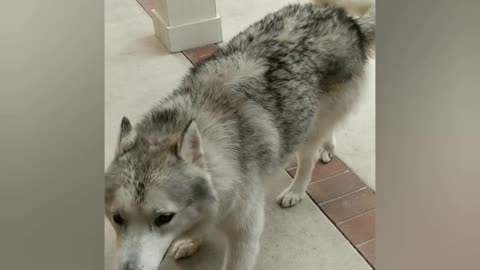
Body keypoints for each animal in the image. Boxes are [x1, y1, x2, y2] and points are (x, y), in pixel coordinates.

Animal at [104, 1, 376, 268]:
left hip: (308, 131)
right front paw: (193, 240)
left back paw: (296, 191)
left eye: (164, 218)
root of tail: (346, 20)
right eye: (117, 218)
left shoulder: (244, 234)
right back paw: (328, 146)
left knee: (307, 160)